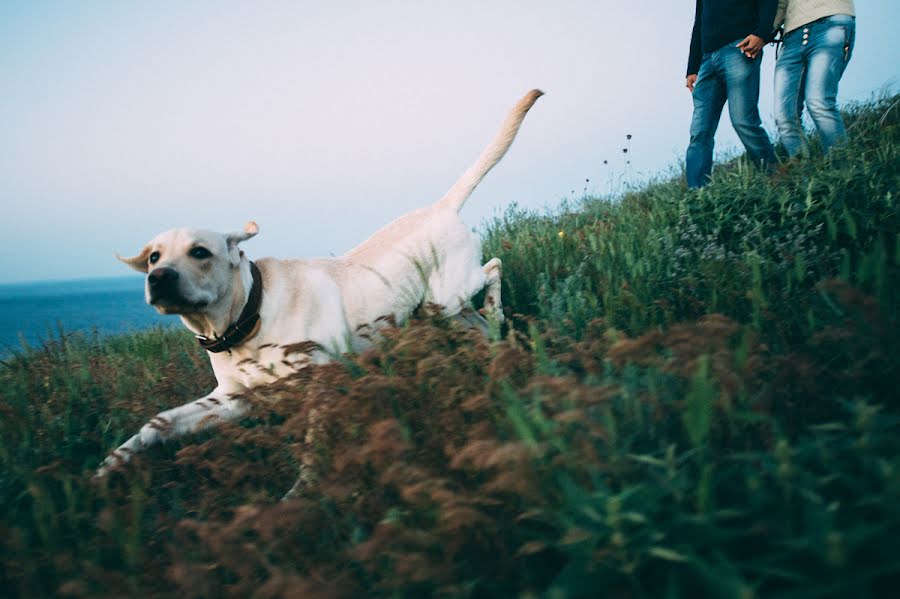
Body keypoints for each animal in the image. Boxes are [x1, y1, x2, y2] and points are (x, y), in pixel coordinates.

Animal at [98, 88, 540, 478]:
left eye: (200, 252)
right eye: (155, 256)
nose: (158, 278)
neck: (248, 318)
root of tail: (441, 206)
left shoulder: (318, 388)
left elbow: (312, 450)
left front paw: (305, 491)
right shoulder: (230, 402)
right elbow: (158, 422)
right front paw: (112, 464)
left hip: (448, 297)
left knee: (494, 267)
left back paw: (496, 311)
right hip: (444, 310)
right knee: (481, 321)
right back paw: (497, 344)